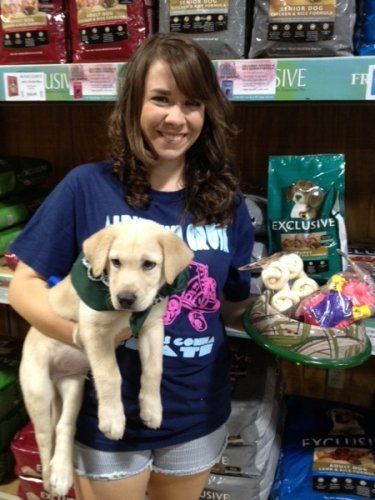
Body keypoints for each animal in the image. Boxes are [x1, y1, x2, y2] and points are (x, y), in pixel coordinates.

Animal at [18, 221, 192, 498]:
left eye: (149, 265)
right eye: (116, 262)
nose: (125, 299)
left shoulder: (152, 326)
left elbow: (154, 369)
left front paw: (151, 409)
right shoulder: (94, 330)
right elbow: (111, 375)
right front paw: (113, 419)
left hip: (73, 387)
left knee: (64, 426)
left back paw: (61, 473)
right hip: (38, 390)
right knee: (44, 436)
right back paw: (48, 478)